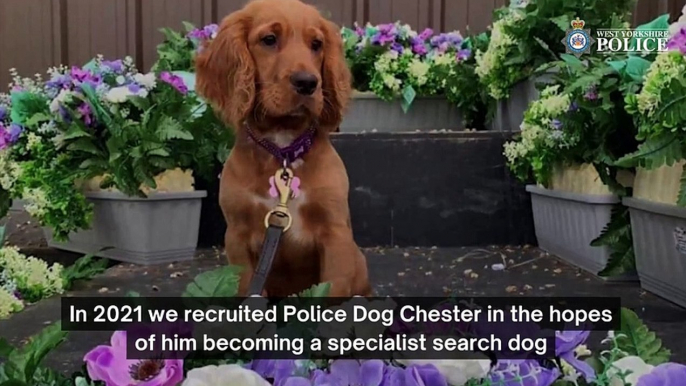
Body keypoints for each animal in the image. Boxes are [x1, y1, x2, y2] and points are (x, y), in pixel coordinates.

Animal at [196, 0, 374, 298]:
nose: (308, 82)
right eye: (269, 39)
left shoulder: (335, 235)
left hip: (357, 260)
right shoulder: (237, 237)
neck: (283, 151)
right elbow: (248, 290)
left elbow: (331, 292)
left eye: (317, 44)